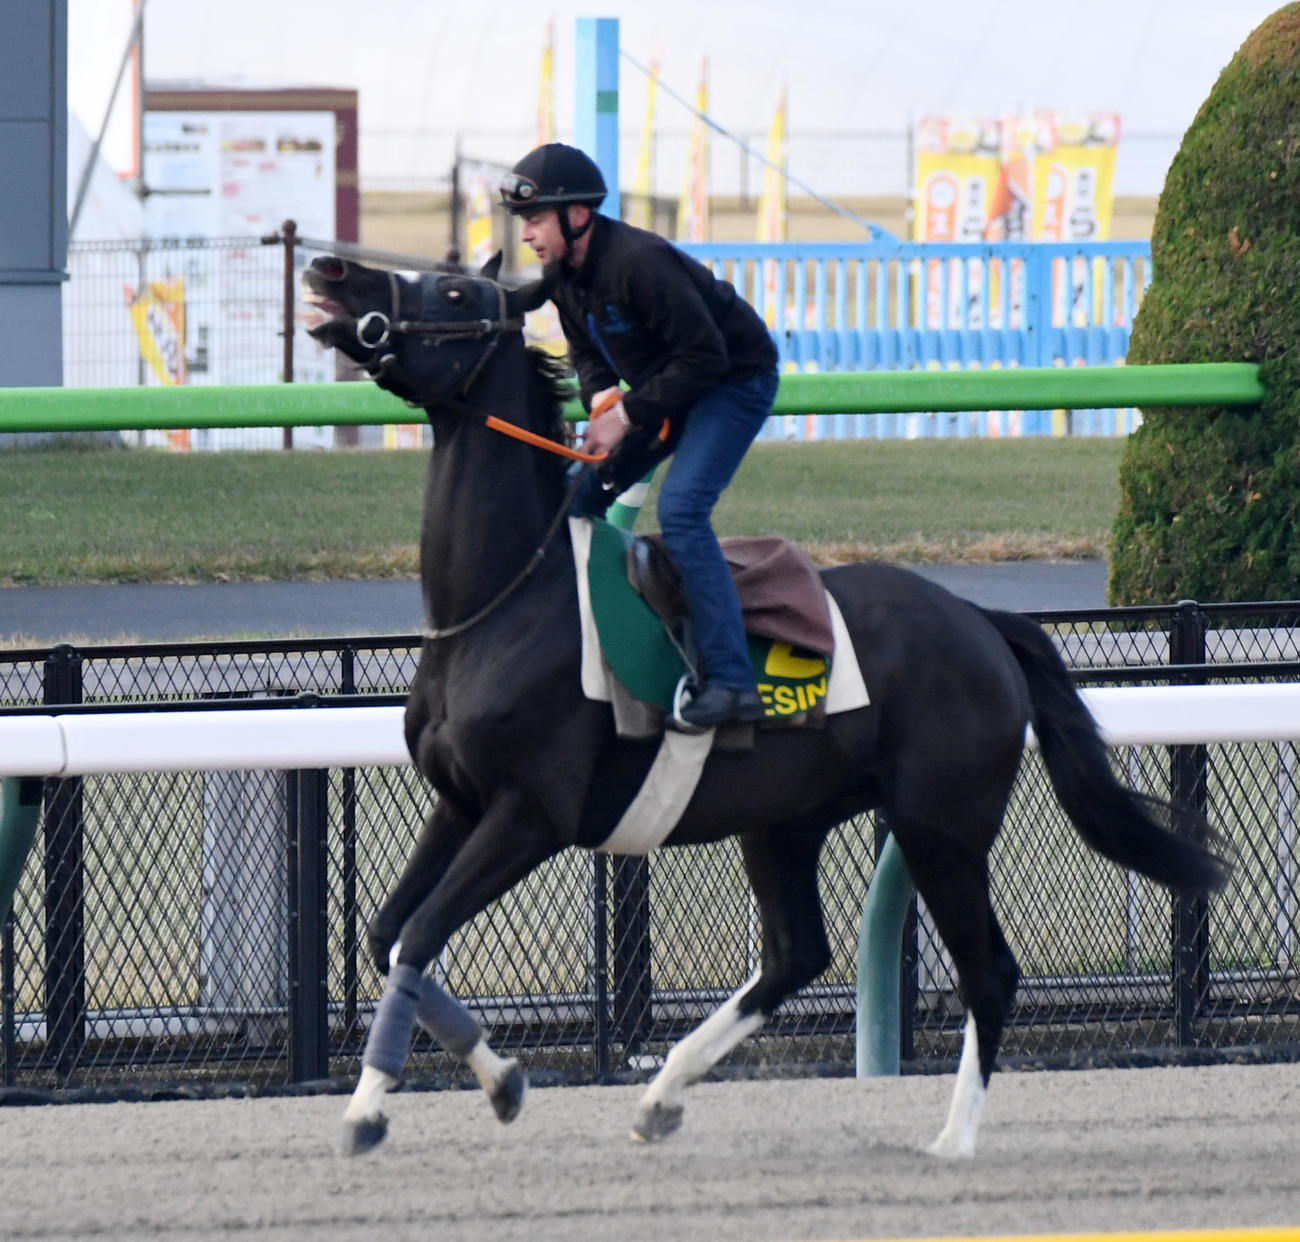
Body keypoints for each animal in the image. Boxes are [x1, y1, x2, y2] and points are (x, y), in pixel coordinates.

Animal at [302, 251, 1229, 1160]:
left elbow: (421, 935)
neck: (508, 600)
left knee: (988, 973)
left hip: (940, 826)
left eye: (456, 291)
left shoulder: (531, 814)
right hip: (787, 819)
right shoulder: (460, 802)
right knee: (795, 954)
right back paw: (661, 1096)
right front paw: (495, 1081)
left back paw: (951, 1141)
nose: (332, 270)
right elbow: (389, 937)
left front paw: (371, 1111)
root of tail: (981, 621)